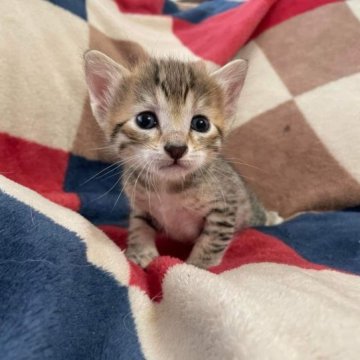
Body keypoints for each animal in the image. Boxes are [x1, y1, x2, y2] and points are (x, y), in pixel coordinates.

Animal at [84, 45, 282, 268]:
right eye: (145, 120)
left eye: (201, 124)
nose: (176, 148)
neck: (168, 188)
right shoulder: (140, 204)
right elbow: (138, 226)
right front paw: (141, 253)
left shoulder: (224, 208)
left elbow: (211, 241)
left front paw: (198, 266)